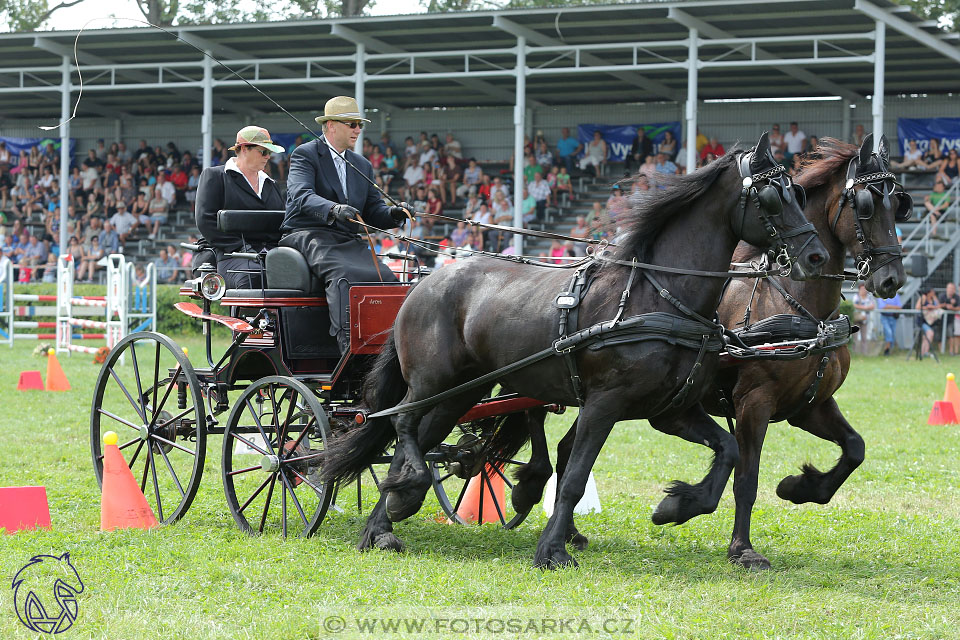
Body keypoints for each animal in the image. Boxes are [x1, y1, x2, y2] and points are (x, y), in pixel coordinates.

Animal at [548, 135, 908, 568]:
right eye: (867, 204)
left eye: (899, 203)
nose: (892, 279)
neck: (799, 307)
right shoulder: (754, 402)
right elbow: (747, 479)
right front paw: (741, 548)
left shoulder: (810, 406)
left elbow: (855, 448)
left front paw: (800, 487)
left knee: (567, 450)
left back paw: (569, 533)